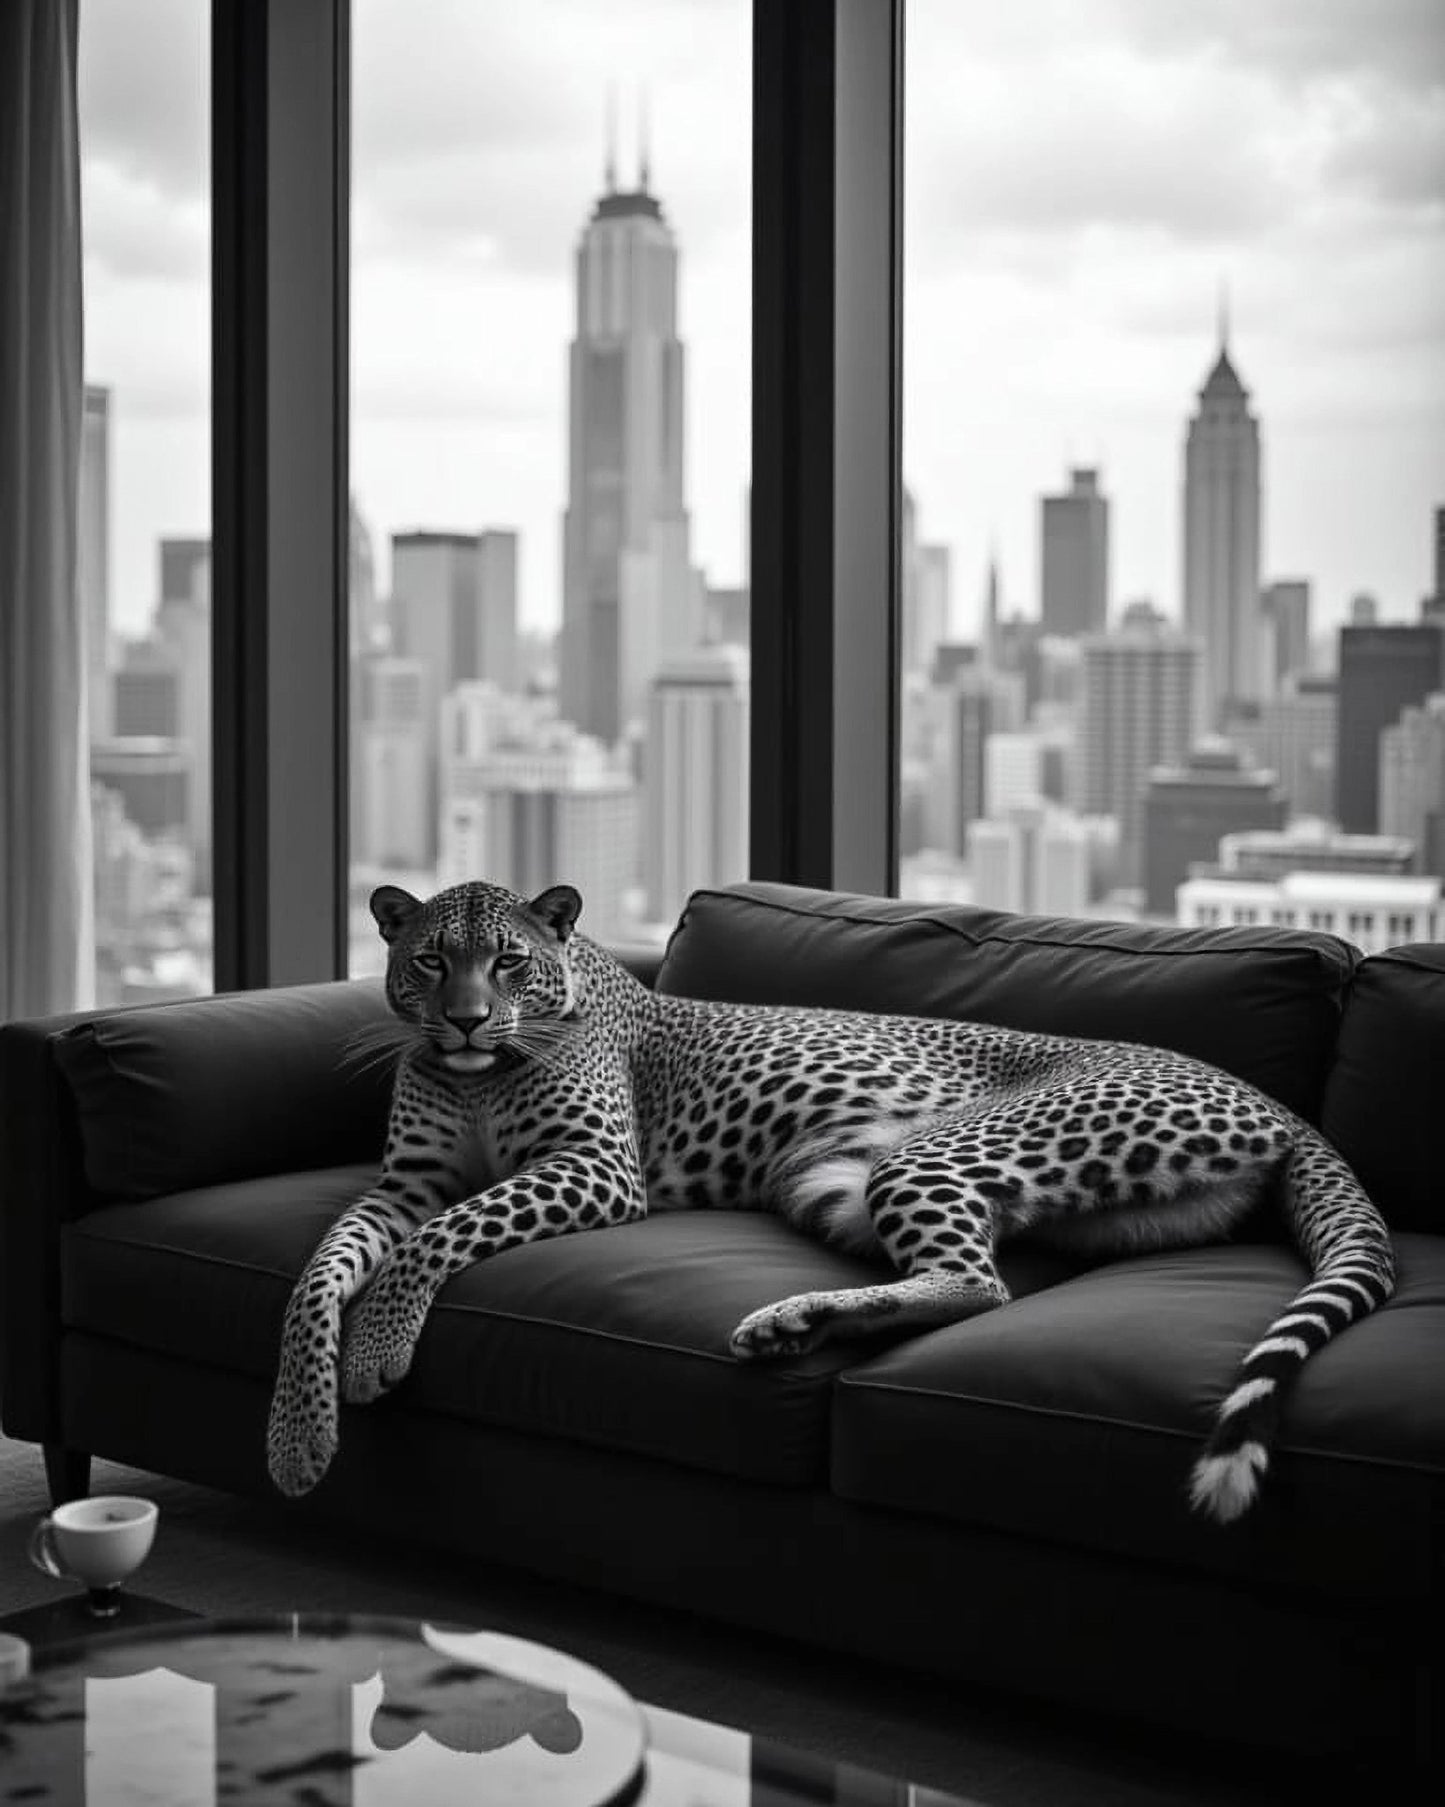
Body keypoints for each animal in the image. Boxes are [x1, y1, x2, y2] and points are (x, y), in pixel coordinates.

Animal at [266, 878, 1396, 1524]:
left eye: (507, 962)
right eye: (427, 960)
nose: (462, 1020)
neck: (477, 1078)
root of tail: (1278, 1105)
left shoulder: (592, 1168)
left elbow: (438, 1238)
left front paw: (372, 1355)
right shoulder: (401, 1183)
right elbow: (314, 1275)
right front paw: (298, 1437)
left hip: (935, 1154)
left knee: (979, 1283)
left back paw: (783, 1321)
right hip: (834, 1184)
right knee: (959, 1271)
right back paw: (793, 1323)